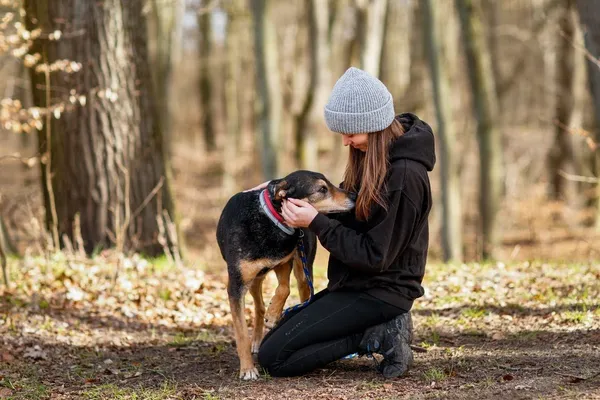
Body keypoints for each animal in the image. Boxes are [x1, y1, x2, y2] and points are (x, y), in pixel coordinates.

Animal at [216, 170, 356, 380]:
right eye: (322, 189)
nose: (354, 196)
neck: (270, 222)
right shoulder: (236, 286)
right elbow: (241, 333)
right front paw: (248, 368)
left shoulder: (283, 263)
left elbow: (284, 289)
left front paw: (274, 315)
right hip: (254, 280)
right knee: (259, 306)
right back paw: (257, 339)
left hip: (302, 269)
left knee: (302, 292)